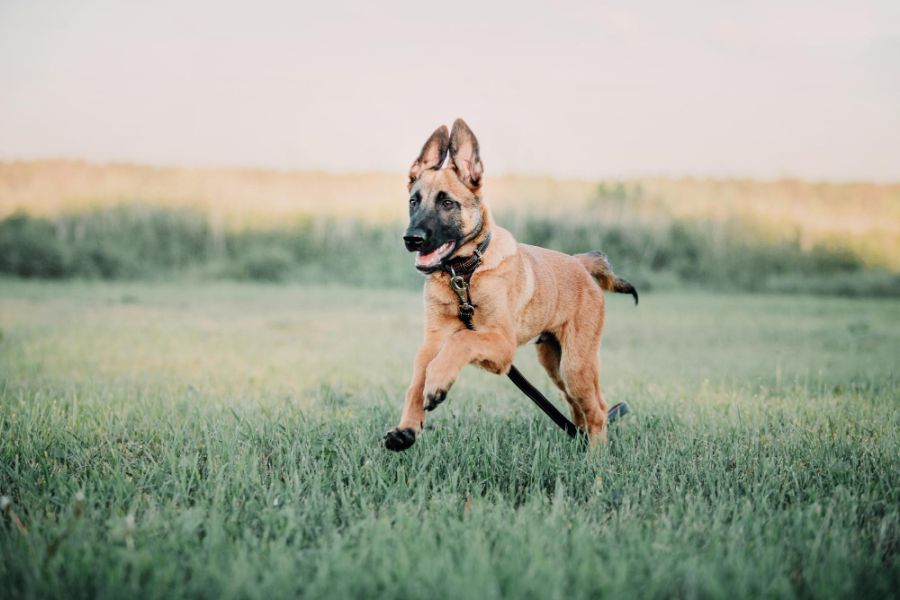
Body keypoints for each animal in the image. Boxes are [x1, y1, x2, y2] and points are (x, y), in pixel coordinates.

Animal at [384, 119, 636, 452]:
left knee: (597, 409)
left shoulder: (502, 347)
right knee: (577, 407)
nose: (411, 239)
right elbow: (416, 380)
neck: (464, 275)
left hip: (575, 365)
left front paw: (437, 382)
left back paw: (595, 458)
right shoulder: (432, 341)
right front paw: (407, 429)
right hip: (554, 363)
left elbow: (462, 340)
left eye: (447, 203)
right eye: (413, 201)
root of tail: (580, 262)